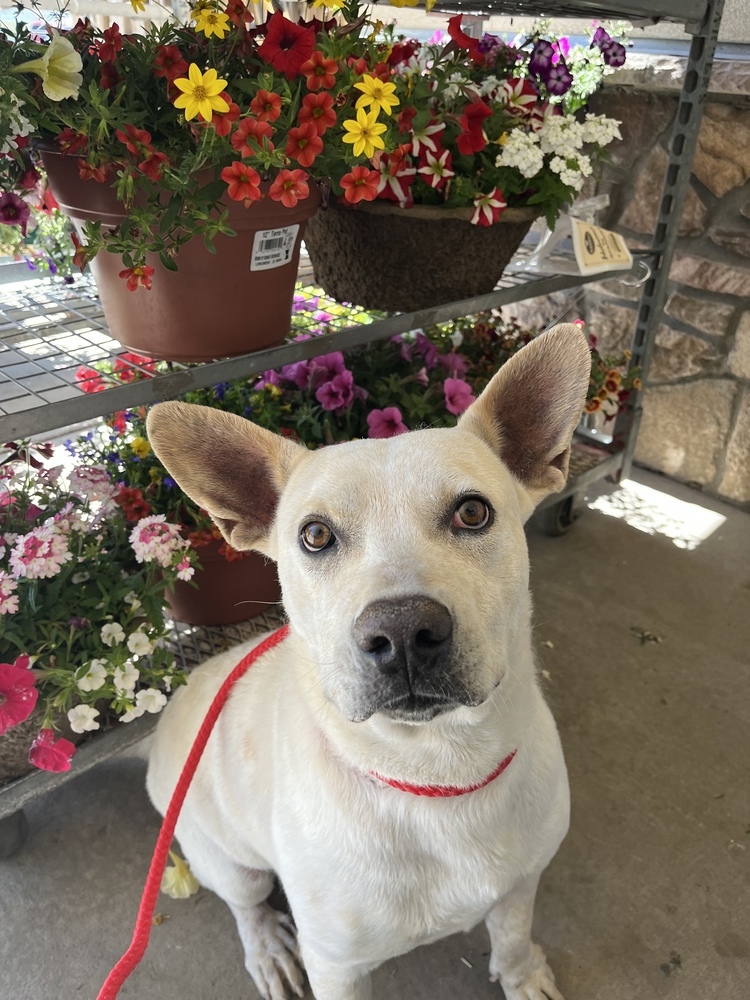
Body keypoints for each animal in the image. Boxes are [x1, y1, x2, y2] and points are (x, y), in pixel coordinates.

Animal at [147, 324, 592, 1000]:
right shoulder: (337, 965)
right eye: (314, 536)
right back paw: (267, 948)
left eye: (472, 512)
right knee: (244, 902)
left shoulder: (521, 883)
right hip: (228, 857)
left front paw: (522, 976)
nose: (403, 630)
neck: (439, 772)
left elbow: (513, 936)